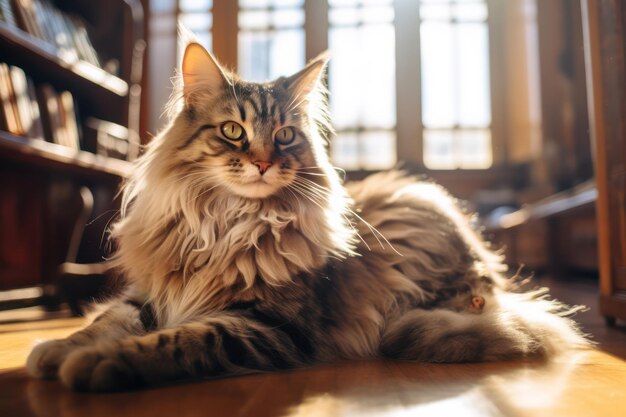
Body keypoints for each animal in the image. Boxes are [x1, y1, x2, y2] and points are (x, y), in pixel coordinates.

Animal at [26, 41, 588, 390]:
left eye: (284, 136)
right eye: (233, 131)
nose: (262, 162)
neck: (225, 223)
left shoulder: (265, 325)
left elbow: (173, 342)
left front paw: (95, 365)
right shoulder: (152, 292)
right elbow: (105, 321)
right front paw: (55, 349)